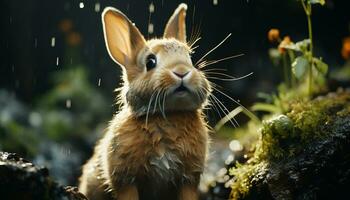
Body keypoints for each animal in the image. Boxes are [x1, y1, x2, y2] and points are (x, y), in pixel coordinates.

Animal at [78, 3, 212, 200]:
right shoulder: (125, 180)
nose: (181, 71)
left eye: (190, 59)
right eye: (150, 62)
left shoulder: (188, 180)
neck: (167, 115)